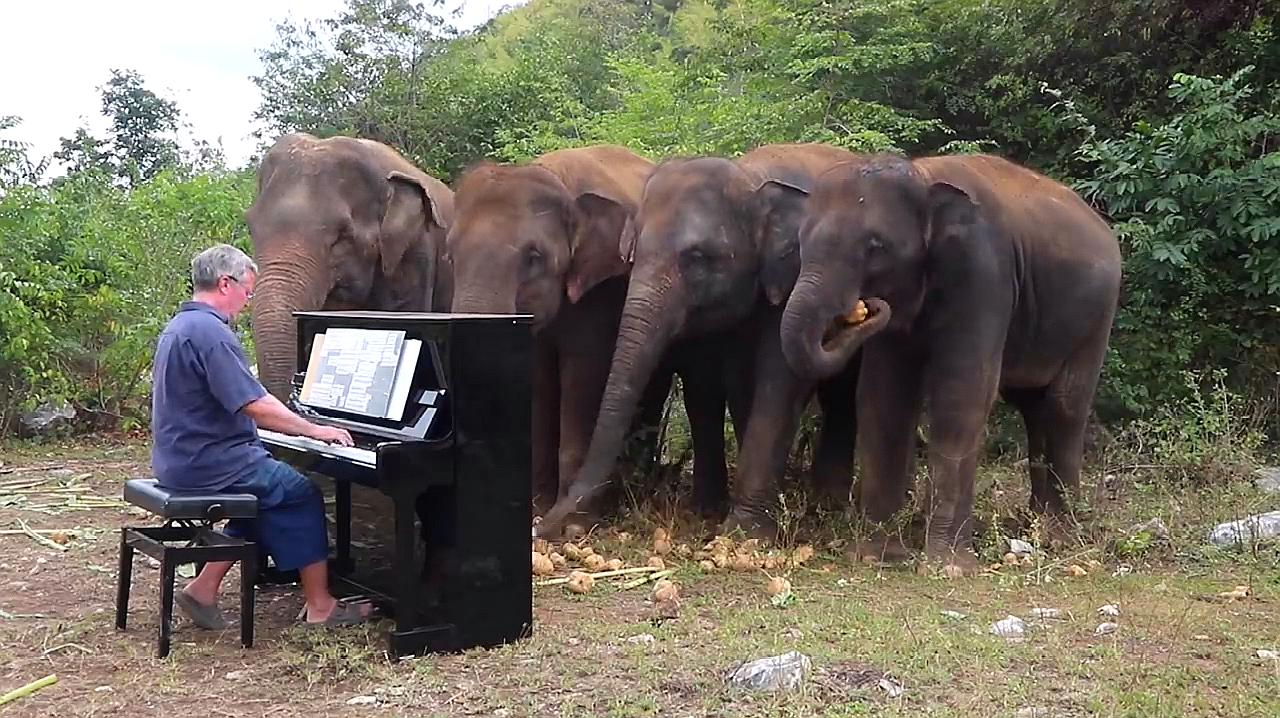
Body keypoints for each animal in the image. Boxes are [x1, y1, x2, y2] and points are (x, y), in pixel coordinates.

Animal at [445, 142, 696, 511]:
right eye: (450, 256)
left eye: (533, 257)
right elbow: (538, 382)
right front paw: (537, 506)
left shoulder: (600, 293)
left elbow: (582, 376)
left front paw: (563, 515)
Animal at [535, 142, 875, 540]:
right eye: (630, 258)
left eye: (697, 257)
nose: (542, 529)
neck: (750, 178)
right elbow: (723, 384)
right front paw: (723, 515)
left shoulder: (796, 276)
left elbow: (778, 381)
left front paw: (747, 531)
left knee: (841, 396)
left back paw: (827, 505)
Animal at [778, 154, 1121, 573]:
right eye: (800, 242)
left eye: (876, 247)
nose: (868, 307)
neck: (922, 176)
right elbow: (883, 399)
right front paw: (878, 556)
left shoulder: (982, 272)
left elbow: (961, 395)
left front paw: (948, 566)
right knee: (1034, 408)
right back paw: (1034, 526)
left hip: (1097, 317)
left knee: (1064, 407)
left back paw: (1058, 537)